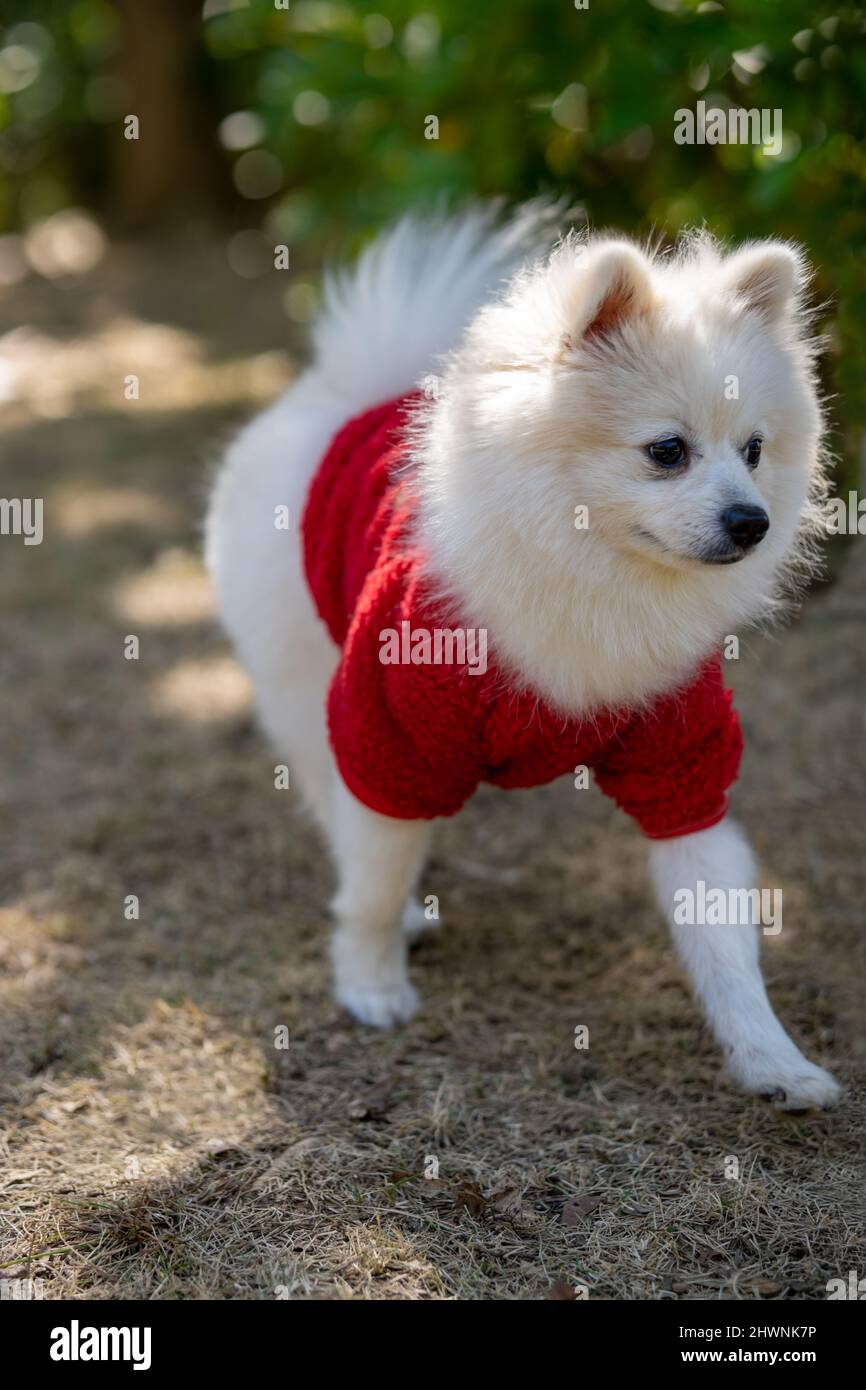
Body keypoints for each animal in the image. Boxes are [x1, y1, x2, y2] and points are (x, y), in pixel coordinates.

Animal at [207, 202, 845, 1106]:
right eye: (667, 451)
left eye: (755, 449)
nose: (751, 521)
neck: (593, 572)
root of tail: (348, 394)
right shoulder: (397, 730)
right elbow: (373, 875)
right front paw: (370, 980)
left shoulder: (679, 761)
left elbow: (720, 926)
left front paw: (771, 1059)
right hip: (304, 674)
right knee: (334, 798)